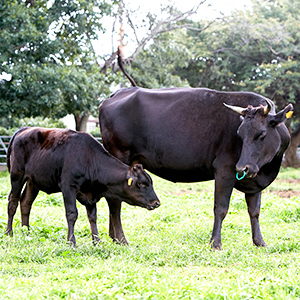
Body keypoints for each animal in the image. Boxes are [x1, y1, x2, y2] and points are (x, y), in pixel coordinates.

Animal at [5, 126, 159, 246]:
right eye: (141, 184)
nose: (156, 202)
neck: (89, 158)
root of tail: (24, 129)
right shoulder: (68, 187)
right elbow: (72, 214)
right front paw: (71, 241)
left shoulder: (90, 194)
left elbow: (93, 217)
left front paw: (97, 241)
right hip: (17, 176)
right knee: (13, 202)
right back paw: (9, 233)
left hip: (33, 181)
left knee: (26, 203)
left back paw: (26, 233)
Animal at [98, 57, 292, 250]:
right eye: (240, 133)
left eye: (262, 134)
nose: (242, 167)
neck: (267, 169)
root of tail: (120, 92)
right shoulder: (225, 170)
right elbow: (220, 208)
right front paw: (215, 243)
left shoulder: (254, 180)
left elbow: (255, 210)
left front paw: (260, 242)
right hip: (119, 157)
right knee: (114, 200)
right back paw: (121, 239)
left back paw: (113, 237)